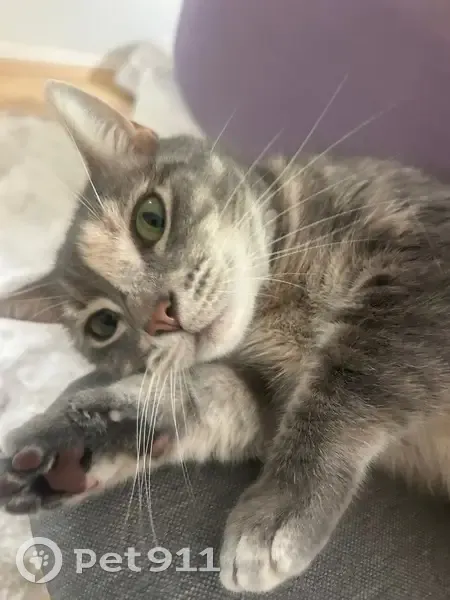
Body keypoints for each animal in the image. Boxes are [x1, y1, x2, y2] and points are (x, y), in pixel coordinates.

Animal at [2, 81, 450, 594]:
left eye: (150, 218)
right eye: (103, 324)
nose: (161, 318)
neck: (270, 309)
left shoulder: (419, 270)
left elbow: (347, 386)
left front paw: (276, 513)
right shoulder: (263, 393)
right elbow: (202, 398)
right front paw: (72, 443)